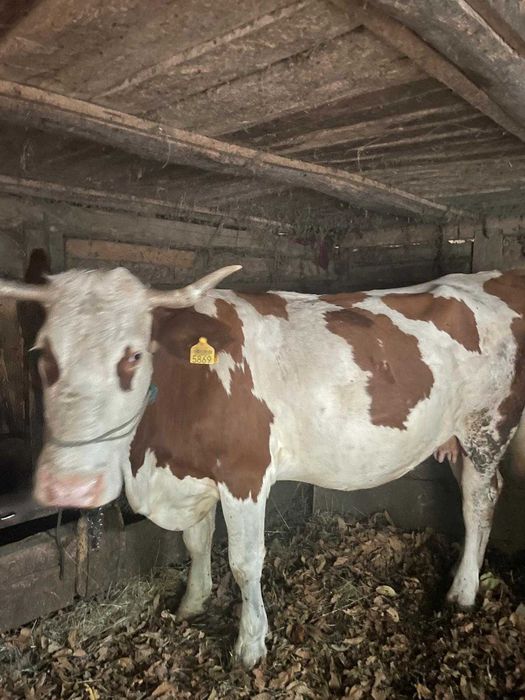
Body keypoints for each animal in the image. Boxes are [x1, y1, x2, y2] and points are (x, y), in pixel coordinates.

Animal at [1, 266, 524, 668]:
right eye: (42, 355)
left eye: (133, 355)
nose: (69, 486)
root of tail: (491, 276)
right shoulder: (195, 477)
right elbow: (196, 542)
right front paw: (192, 601)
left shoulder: (244, 474)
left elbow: (244, 561)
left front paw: (250, 644)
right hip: (455, 439)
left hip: (486, 429)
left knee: (479, 501)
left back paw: (463, 591)